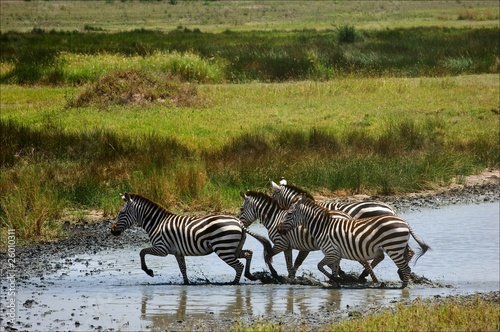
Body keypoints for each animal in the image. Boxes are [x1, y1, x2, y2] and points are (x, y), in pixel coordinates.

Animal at [110, 193, 274, 284]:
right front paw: (186, 283)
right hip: (232, 247)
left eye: (122, 213)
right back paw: (250, 275)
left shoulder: (161, 248)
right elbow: (182, 268)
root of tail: (239, 222)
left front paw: (148, 271)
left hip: (223, 248)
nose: (112, 230)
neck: (157, 223)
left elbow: (142, 252)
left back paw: (234, 283)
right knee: (248, 253)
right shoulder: (178, 252)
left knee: (238, 265)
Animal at [236, 191, 376, 282]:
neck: (274, 218)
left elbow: (268, 256)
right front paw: (291, 278)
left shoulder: (280, 243)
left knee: (364, 261)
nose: (239, 224)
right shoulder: (287, 246)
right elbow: (290, 264)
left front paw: (276, 275)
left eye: (241, 209)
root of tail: (347, 216)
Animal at [272, 180, 412, 282]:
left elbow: (300, 261)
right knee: (408, 252)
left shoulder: (312, 244)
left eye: (272, 197)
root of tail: (390, 208)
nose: (279, 226)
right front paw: (339, 274)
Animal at [278, 196, 430, 290]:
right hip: (398, 246)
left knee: (405, 268)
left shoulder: (331, 252)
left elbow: (319, 266)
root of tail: (404, 222)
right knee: (406, 261)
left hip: (393, 247)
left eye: (289, 213)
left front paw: (335, 281)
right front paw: (335, 282)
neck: (323, 227)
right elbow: (333, 270)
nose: (279, 229)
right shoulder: (336, 254)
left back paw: (403, 287)